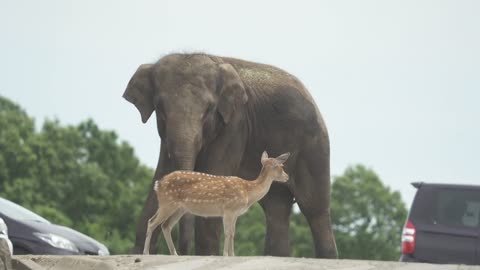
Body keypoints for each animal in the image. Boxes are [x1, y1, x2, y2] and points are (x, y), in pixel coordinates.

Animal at [142, 151, 290, 256]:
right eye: (281, 167)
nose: (287, 177)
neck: (248, 192)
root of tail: (158, 184)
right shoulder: (229, 209)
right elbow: (228, 232)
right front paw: (225, 254)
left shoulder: (235, 213)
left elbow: (233, 233)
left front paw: (233, 255)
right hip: (167, 203)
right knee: (151, 222)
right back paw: (146, 252)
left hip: (179, 208)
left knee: (165, 225)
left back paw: (175, 254)